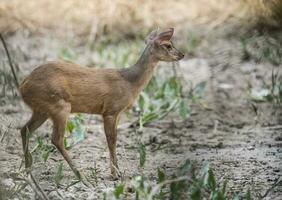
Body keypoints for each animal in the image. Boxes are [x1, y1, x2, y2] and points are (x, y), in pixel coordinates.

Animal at [19, 28, 183, 181]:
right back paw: (81, 176)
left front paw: (117, 172)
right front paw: (115, 174)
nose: (181, 55)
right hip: (59, 106)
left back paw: (28, 171)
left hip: (42, 110)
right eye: (168, 45)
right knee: (56, 139)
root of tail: (23, 86)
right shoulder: (110, 110)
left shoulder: (117, 113)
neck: (129, 82)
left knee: (24, 130)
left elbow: (114, 139)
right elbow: (112, 140)